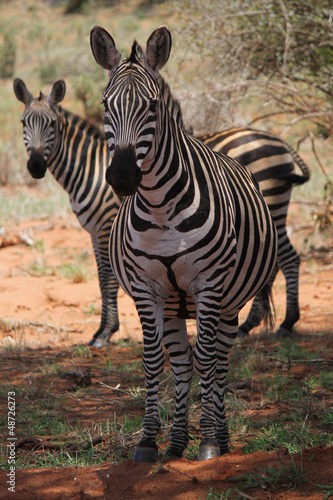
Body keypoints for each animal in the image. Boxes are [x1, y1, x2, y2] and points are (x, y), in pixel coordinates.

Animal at [13, 77, 122, 348]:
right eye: (23, 123)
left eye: (52, 124)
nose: (36, 166)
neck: (92, 169)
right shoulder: (94, 231)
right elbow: (101, 278)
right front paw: (101, 330)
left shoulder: (107, 225)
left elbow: (109, 279)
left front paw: (106, 333)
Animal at [90, 23, 278, 460]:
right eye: (105, 105)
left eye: (152, 107)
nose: (122, 177)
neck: (160, 208)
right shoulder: (147, 288)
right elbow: (153, 361)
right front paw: (147, 442)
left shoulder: (208, 284)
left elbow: (208, 360)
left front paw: (207, 442)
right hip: (175, 305)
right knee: (181, 361)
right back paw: (176, 443)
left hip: (229, 302)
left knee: (219, 359)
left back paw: (219, 439)